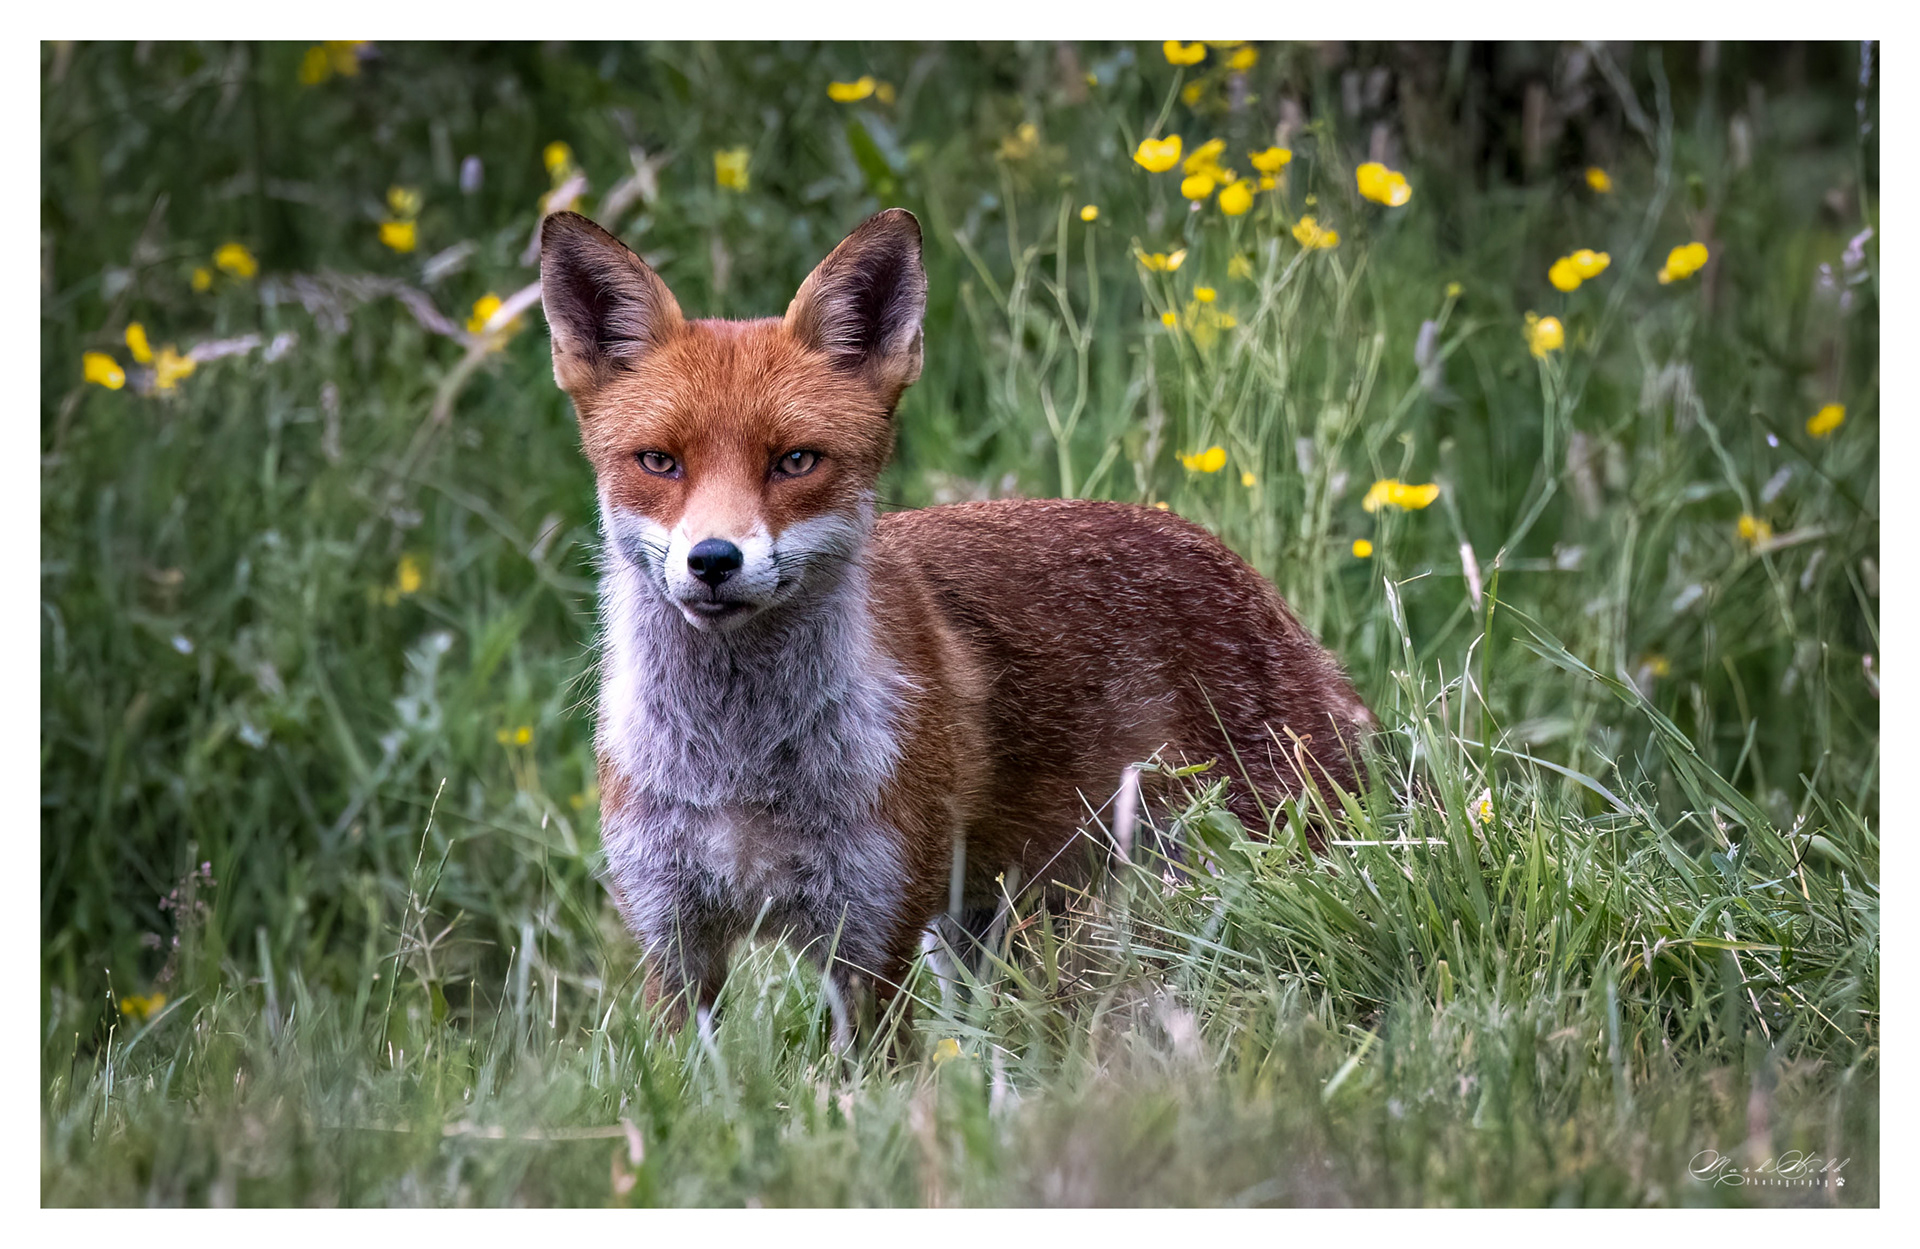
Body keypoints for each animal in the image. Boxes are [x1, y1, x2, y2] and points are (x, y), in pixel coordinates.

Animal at [538, 207, 1375, 1048]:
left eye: (796, 461)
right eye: (659, 462)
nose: (713, 559)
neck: (738, 766)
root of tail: (1237, 568)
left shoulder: (870, 939)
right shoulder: (673, 940)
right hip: (984, 928)